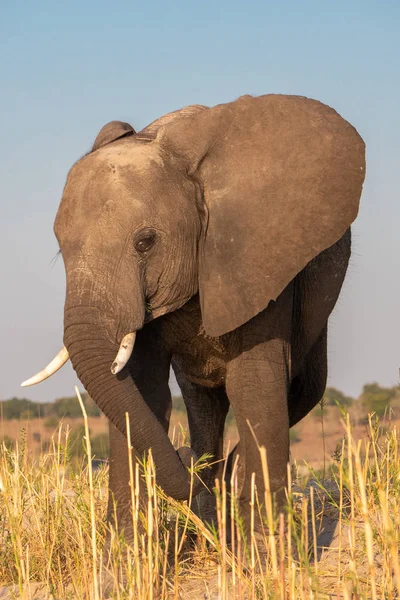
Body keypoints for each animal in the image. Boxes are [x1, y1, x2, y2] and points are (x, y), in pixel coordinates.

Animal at [22, 94, 366, 544]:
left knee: (305, 386)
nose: (187, 459)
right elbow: (142, 389)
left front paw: (265, 552)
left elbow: (255, 384)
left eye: (145, 242)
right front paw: (127, 555)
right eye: (61, 248)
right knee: (204, 401)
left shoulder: (256, 259)